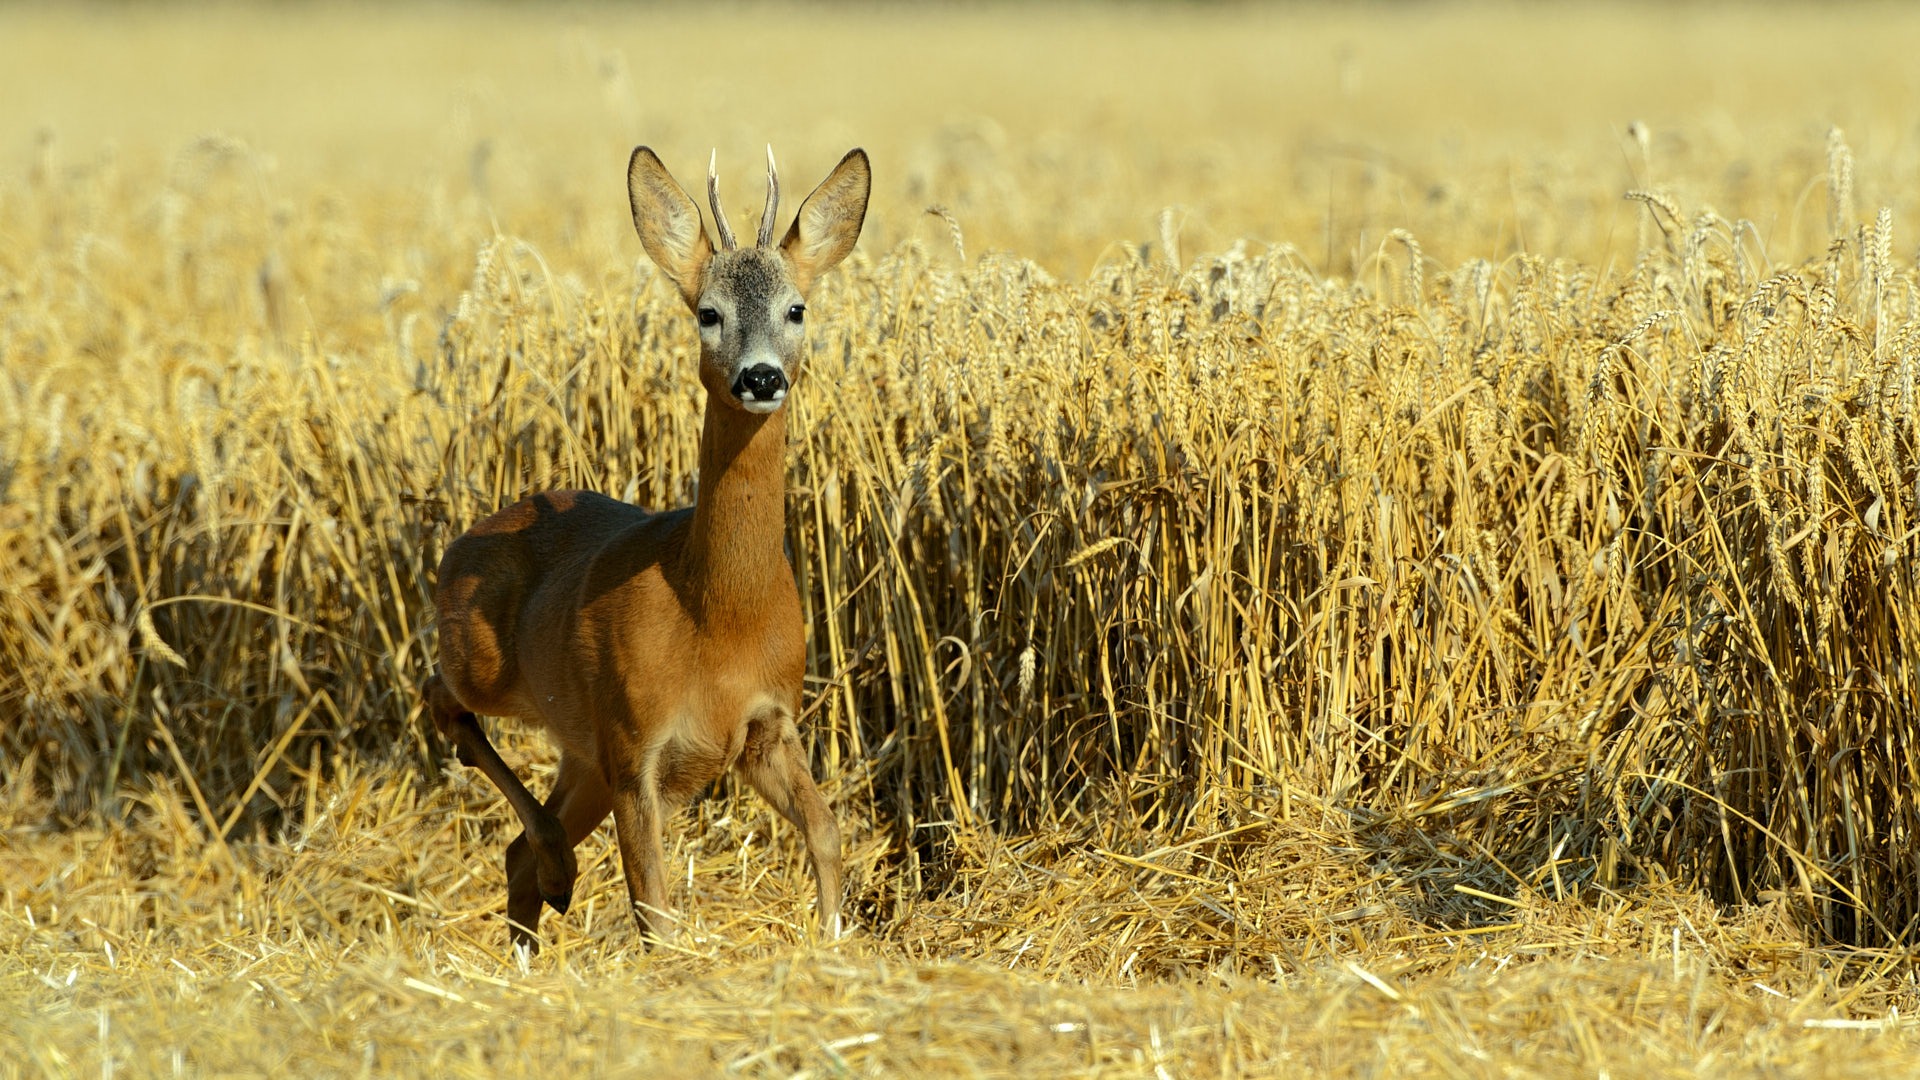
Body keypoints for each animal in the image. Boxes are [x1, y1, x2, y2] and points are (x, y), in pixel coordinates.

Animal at [422, 145, 869, 952]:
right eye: (707, 312)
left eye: (797, 307)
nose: (761, 376)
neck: (715, 614)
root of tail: (467, 534)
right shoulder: (637, 746)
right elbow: (655, 908)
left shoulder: (767, 724)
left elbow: (825, 830)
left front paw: (832, 942)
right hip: (487, 669)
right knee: (439, 698)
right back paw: (559, 871)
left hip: (583, 750)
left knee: (514, 852)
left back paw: (538, 920)